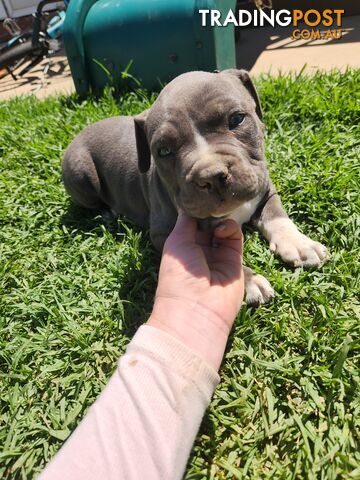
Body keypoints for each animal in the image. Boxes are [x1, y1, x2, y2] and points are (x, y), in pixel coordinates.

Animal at [63, 68, 328, 304]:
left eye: (236, 119)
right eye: (164, 151)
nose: (210, 176)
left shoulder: (265, 187)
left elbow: (277, 215)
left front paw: (300, 244)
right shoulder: (163, 234)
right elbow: (212, 258)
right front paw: (249, 280)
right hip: (80, 172)